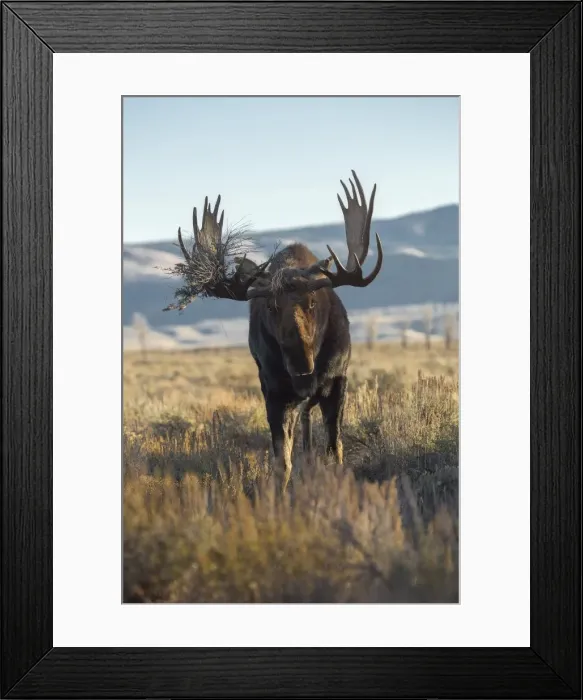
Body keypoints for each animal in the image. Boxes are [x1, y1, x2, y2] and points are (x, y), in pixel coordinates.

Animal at [167, 171, 383, 490]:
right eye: (270, 307)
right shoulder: (274, 391)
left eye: (312, 302)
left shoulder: (338, 382)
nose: (300, 365)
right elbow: (283, 461)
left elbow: (335, 450)